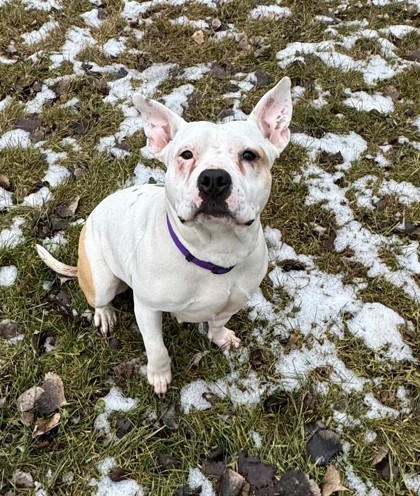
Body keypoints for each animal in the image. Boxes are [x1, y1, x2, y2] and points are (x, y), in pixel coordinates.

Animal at [37, 77, 292, 396]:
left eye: (249, 155)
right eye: (186, 154)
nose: (213, 179)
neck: (213, 252)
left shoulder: (232, 303)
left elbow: (217, 323)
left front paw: (220, 337)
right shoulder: (147, 308)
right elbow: (156, 348)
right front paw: (159, 375)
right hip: (102, 279)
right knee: (99, 298)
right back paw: (104, 314)